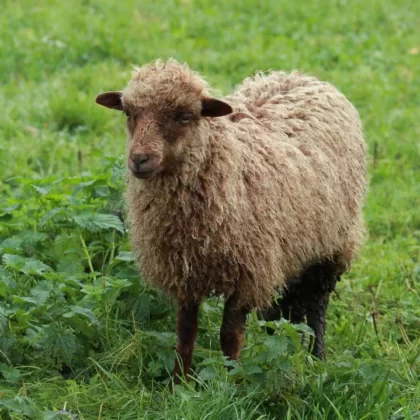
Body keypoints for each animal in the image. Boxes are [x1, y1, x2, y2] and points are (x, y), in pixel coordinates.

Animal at [96, 59, 368, 384]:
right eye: (129, 113)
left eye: (184, 116)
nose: (139, 159)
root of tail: (302, 76)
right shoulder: (186, 272)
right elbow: (185, 334)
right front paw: (179, 383)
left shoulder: (248, 272)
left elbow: (229, 336)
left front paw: (231, 383)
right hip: (292, 248)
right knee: (284, 311)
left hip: (332, 244)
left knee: (316, 307)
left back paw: (317, 358)